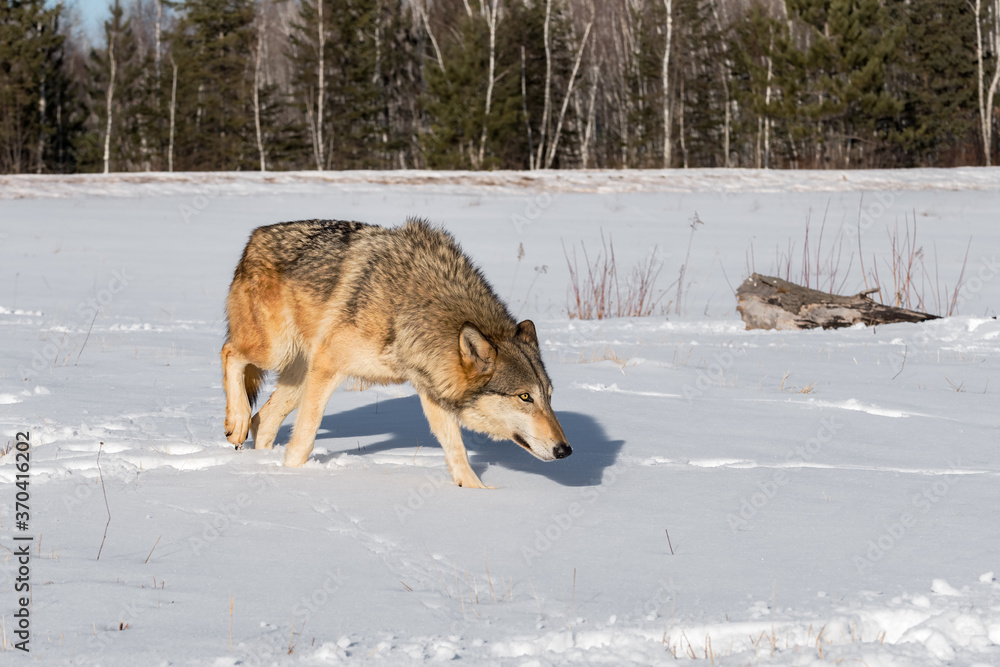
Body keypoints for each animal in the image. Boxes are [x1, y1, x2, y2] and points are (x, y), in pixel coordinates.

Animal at [221, 218, 571, 488]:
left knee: (263, 419)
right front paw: (293, 477)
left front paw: (479, 493)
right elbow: (305, 438)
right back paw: (237, 423)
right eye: (524, 397)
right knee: (230, 353)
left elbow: (457, 451)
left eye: (548, 396)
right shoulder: (328, 366)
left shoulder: (431, 387)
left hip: (299, 375)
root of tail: (256, 236)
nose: (566, 451)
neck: (413, 306)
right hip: (278, 352)